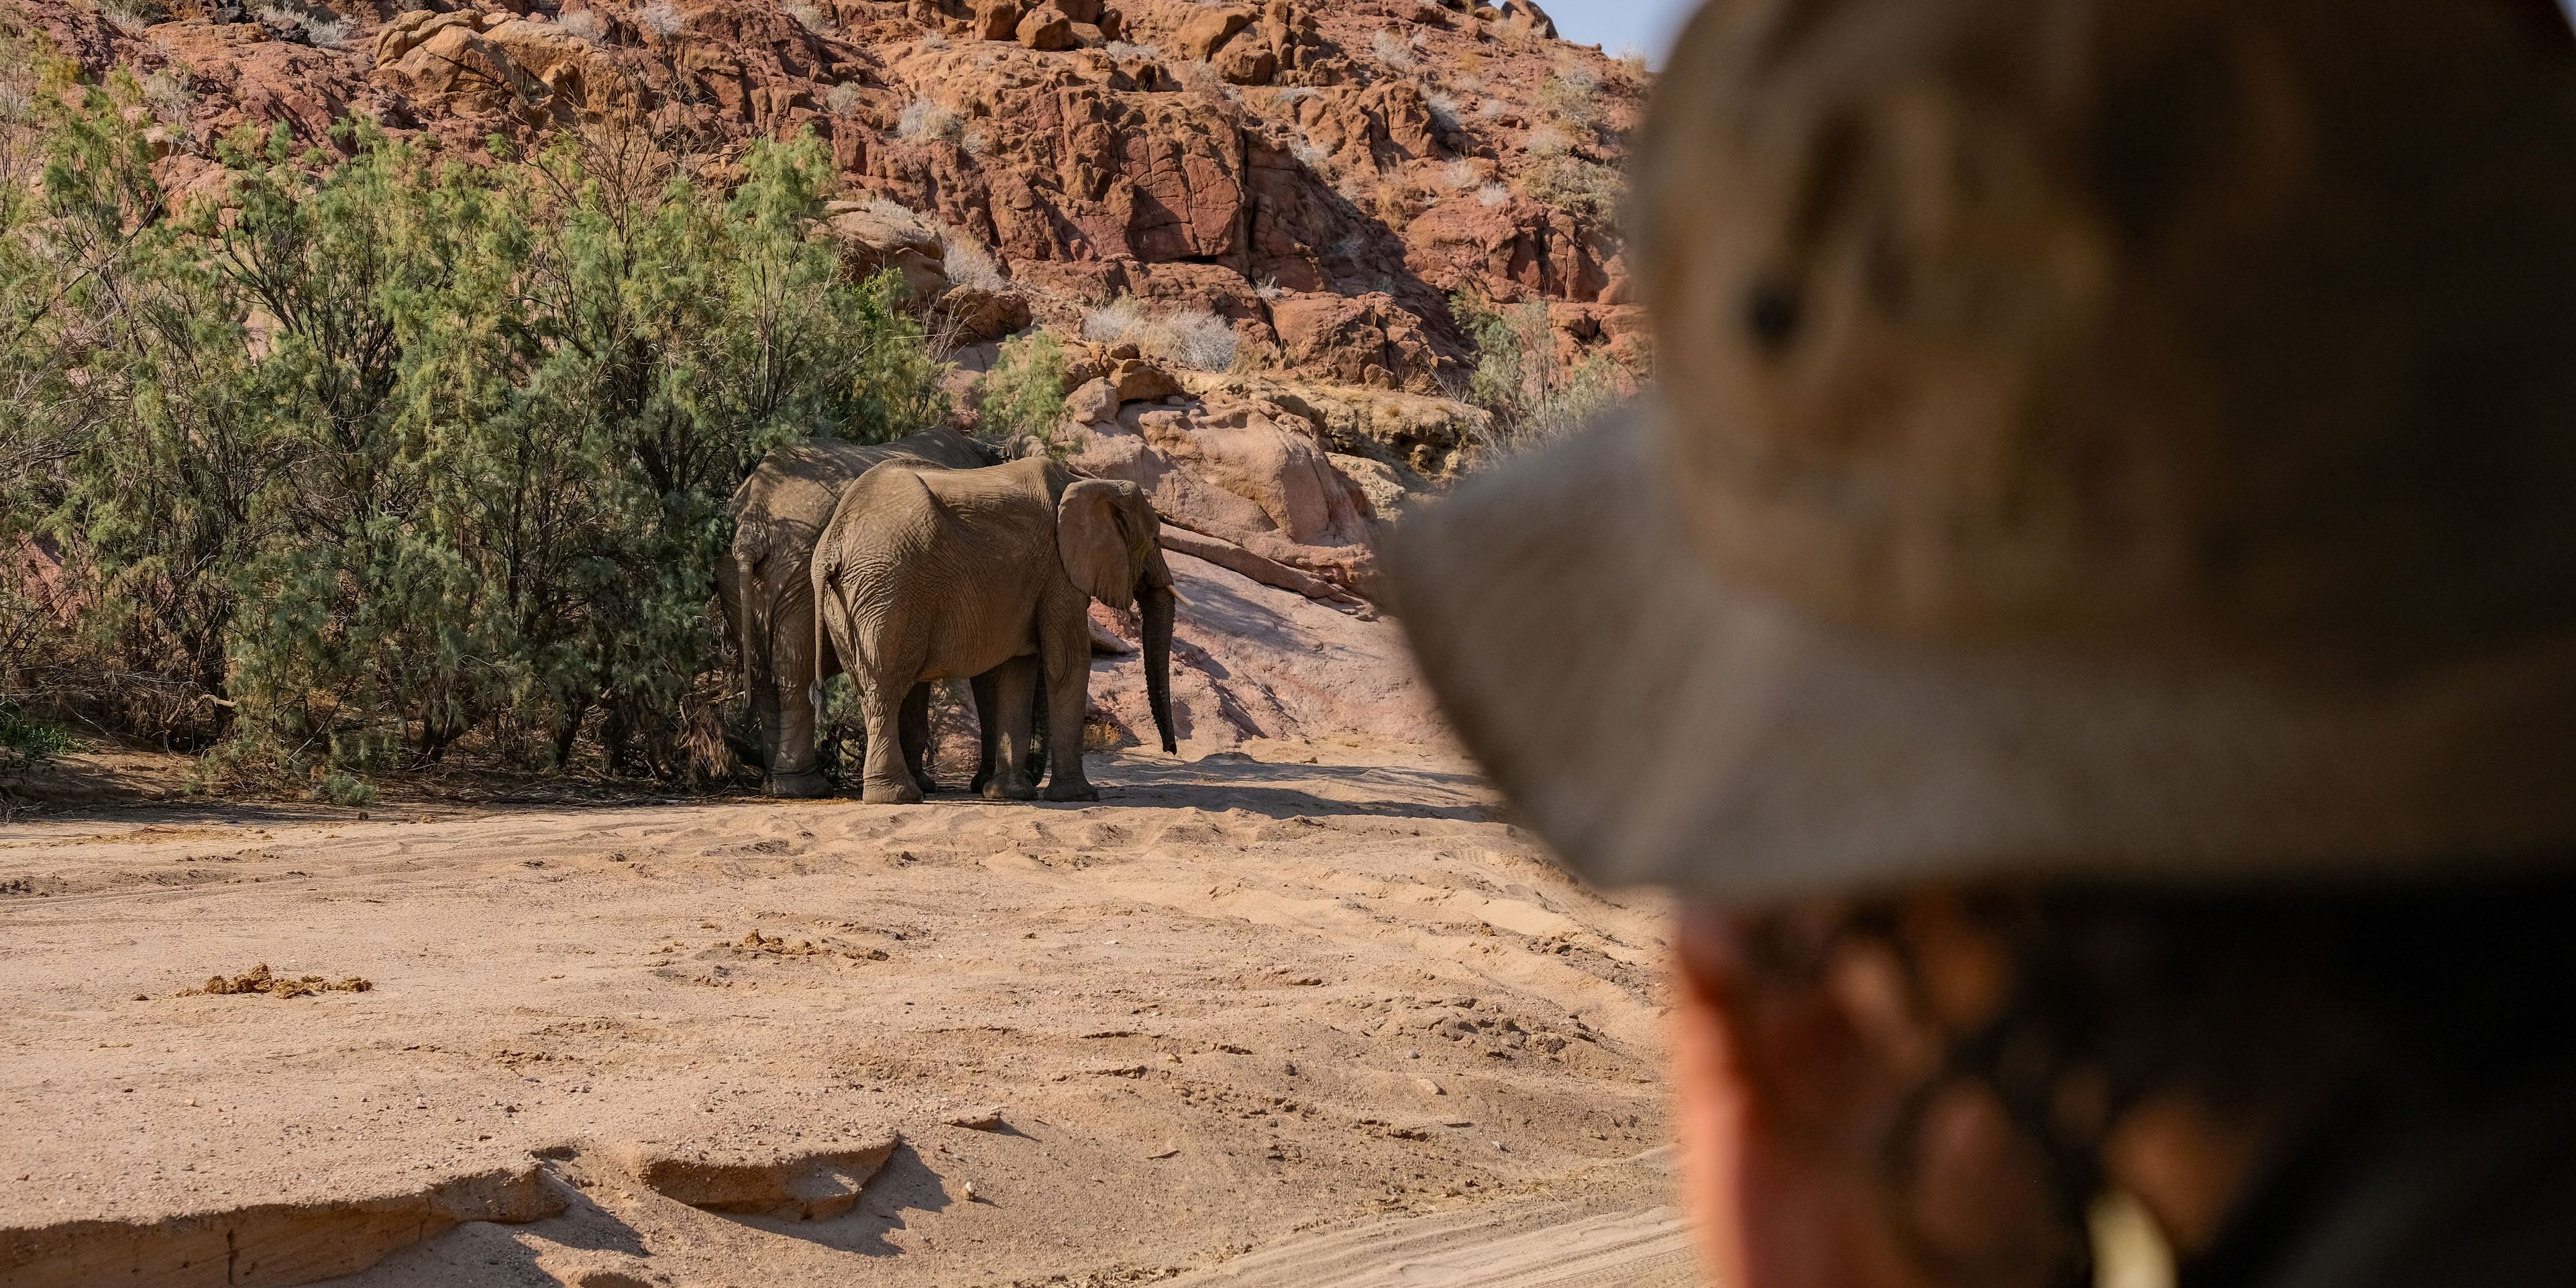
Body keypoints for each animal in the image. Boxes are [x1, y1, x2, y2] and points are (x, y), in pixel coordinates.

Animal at [718, 428, 1000, 796]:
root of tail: (753, 523)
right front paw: (921, 786)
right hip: (800, 573)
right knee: (793, 672)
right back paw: (806, 789)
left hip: (738, 577)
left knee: (766, 676)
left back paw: (779, 785)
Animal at [812, 456, 1177, 803]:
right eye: (1155, 539)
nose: (1170, 750)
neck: (1088, 483)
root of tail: (832, 546)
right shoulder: (1059, 571)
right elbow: (1067, 663)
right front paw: (1078, 797)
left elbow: (1017, 669)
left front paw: (1009, 794)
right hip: (889, 590)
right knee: (886, 688)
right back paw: (899, 797)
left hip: (851, 602)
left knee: (868, 689)